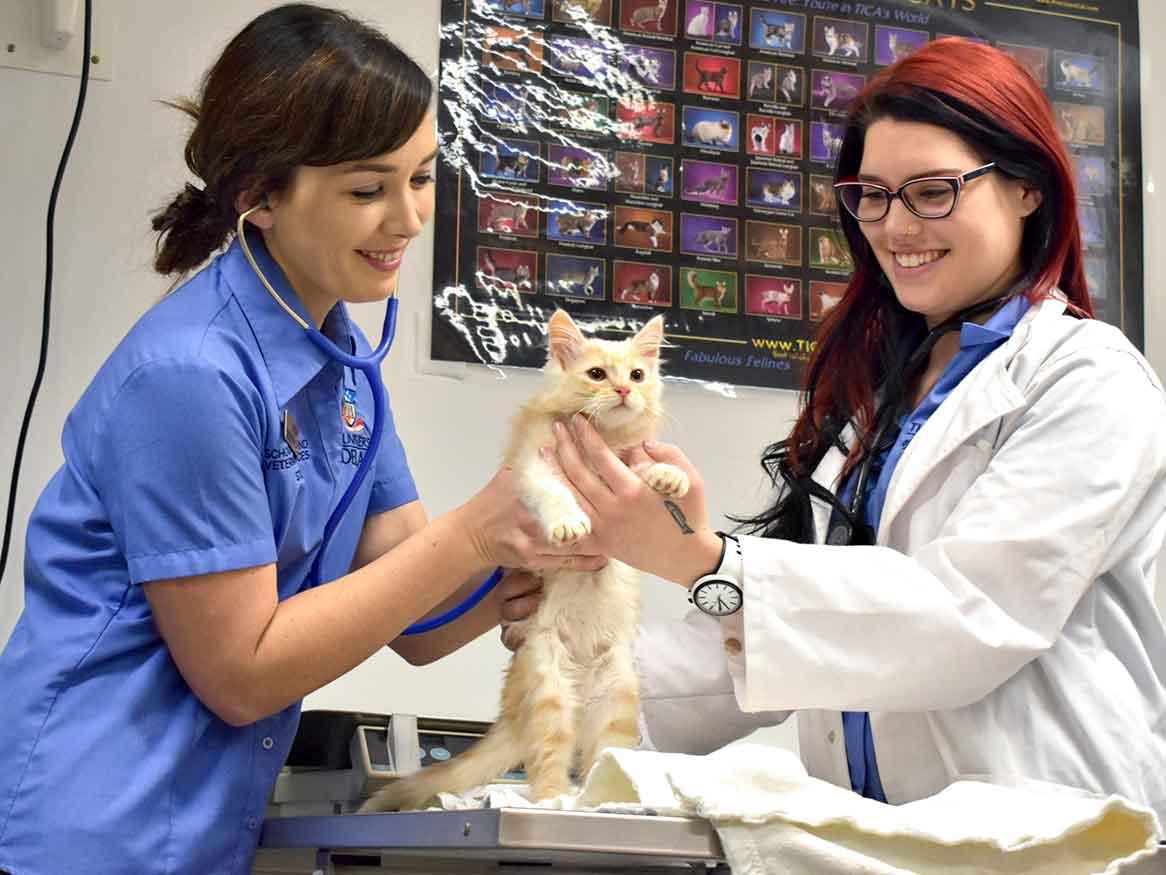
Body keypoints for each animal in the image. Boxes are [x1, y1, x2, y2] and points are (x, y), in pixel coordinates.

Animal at [363, 312, 685, 812]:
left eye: (637, 375)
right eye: (597, 374)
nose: (623, 391)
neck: (603, 440)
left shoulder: (625, 469)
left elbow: (641, 471)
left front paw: (670, 475)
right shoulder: (532, 466)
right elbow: (551, 492)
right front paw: (568, 521)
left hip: (617, 695)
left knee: (605, 755)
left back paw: (605, 797)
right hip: (549, 685)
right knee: (549, 755)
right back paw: (554, 798)